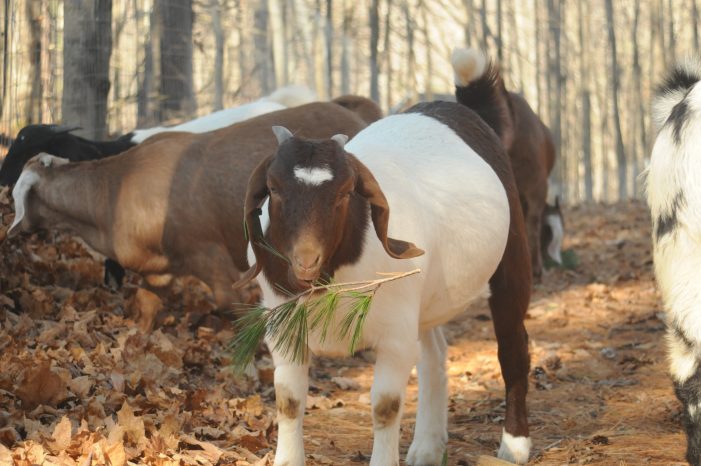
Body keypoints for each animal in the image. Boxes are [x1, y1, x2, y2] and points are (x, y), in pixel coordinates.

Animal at [232, 48, 528, 466]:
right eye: (273, 188)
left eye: (345, 192)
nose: (305, 261)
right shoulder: (284, 330)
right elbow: (289, 401)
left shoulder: (394, 336)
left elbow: (385, 406)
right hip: (425, 302)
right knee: (434, 355)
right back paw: (427, 448)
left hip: (511, 262)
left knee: (513, 349)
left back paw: (515, 446)